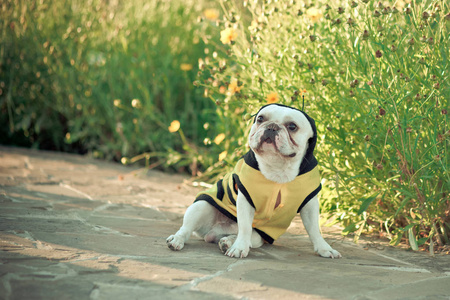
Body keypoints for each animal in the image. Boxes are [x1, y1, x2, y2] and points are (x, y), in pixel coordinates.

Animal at [166, 103, 342, 258]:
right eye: (260, 119)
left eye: (292, 126)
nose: (272, 127)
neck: (278, 166)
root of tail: (214, 231)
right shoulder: (246, 198)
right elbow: (244, 226)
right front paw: (239, 248)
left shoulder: (310, 204)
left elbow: (314, 229)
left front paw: (324, 248)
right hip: (201, 206)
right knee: (187, 228)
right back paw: (177, 240)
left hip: (260, 236)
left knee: (247, 236)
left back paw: (228, 242)